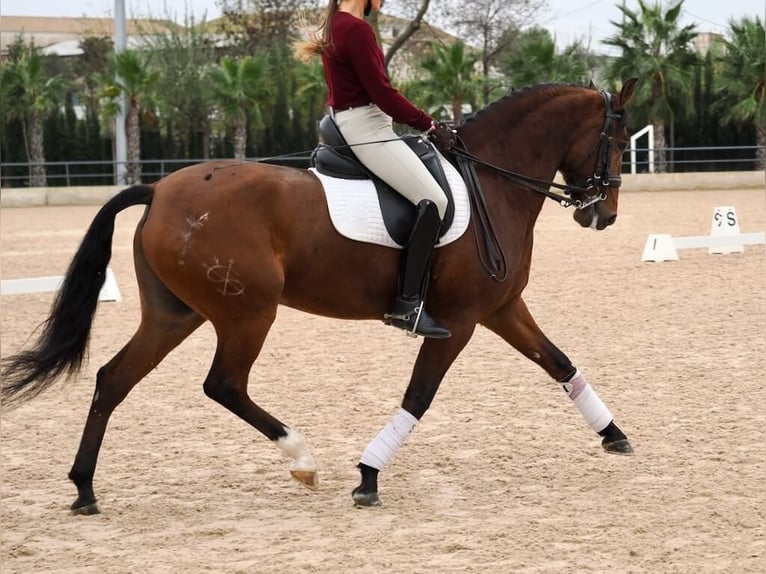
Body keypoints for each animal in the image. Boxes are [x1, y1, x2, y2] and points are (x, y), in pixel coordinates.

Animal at [1, 76, 640, 512]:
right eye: (615, 141)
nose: (603, 215)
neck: (491, 182)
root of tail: (158, 191)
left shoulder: (501, 309)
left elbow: (560, 363)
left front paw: (614, 434)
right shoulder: (457, 321)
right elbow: (419, 396)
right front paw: (368, 475)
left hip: (175, 315)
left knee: (114, 379)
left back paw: (84, 488)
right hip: (247, 313)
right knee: (223, 384)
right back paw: (302, 460)